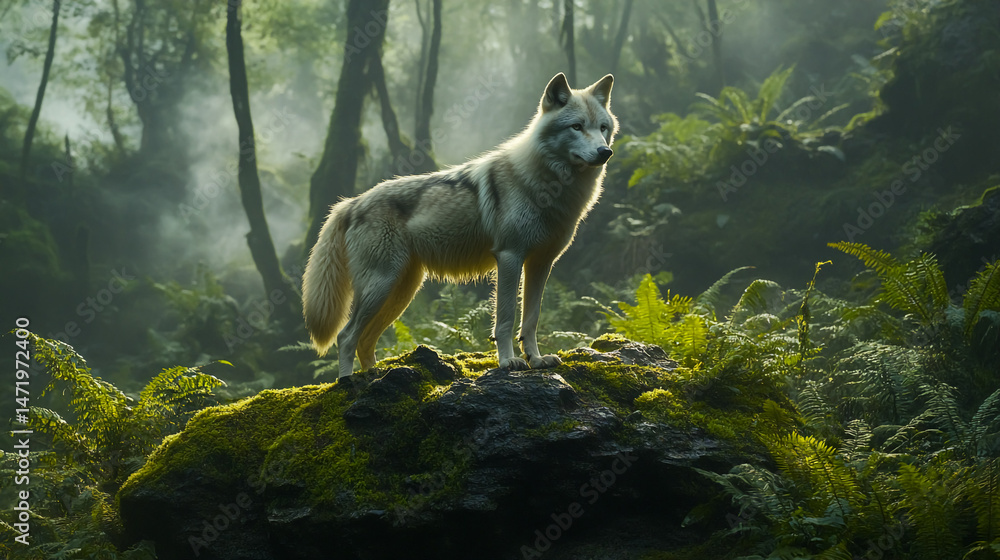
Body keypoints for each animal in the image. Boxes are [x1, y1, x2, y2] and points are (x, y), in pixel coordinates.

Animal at [303, 72, 617, 378]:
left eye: (602, 128)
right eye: (577, 126)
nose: (605, 152)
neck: (549, 185)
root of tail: (350, 203)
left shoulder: (541, 263)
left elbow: (530, 320)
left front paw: (537, 360)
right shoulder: (510, 257)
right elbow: (505, 319)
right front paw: (508, 362)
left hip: (399, 292)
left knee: (365, 340)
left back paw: (375, 377)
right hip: (382, 285)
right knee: (346, 336)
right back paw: (348, 383)